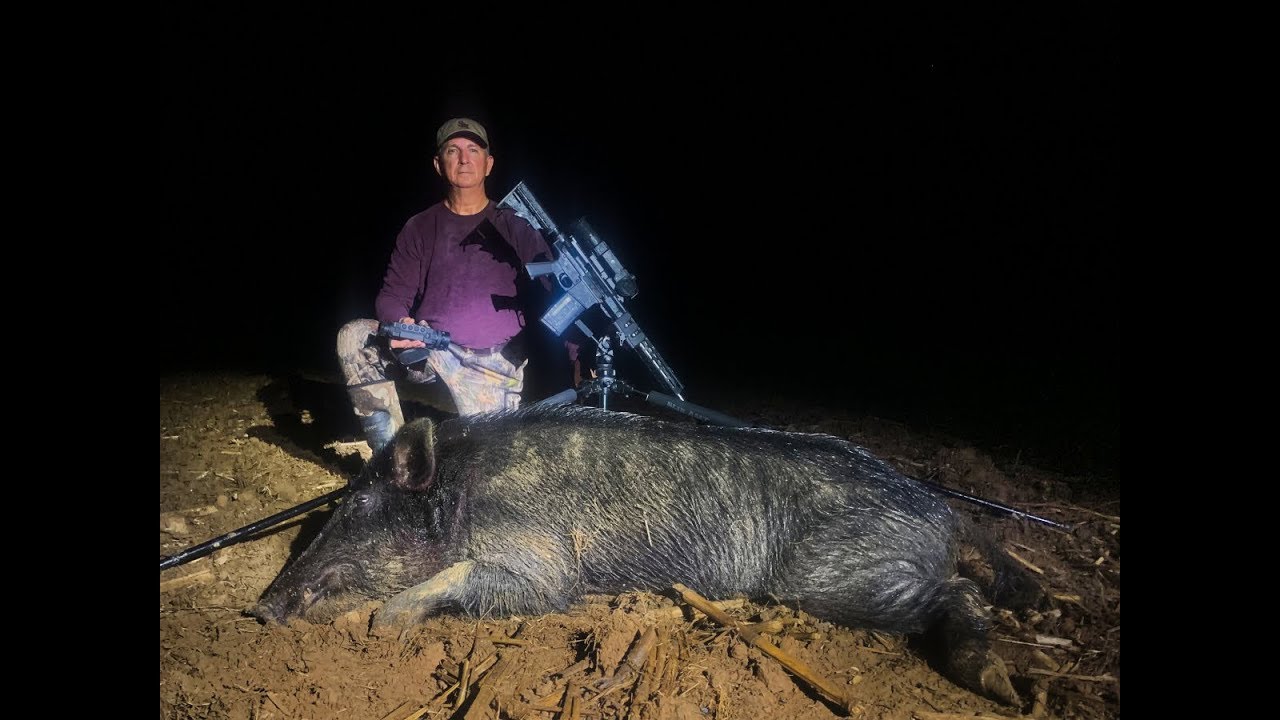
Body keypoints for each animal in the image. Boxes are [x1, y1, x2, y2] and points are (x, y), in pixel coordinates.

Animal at [251, 404, 1040, 705]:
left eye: (356, 510)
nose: (259, 609)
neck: (466, 490)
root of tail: (945, 511)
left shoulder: (543, 563)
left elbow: (482, 576)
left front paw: (380, 625)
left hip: (846, 575)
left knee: (960, 595)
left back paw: (1004, 687)